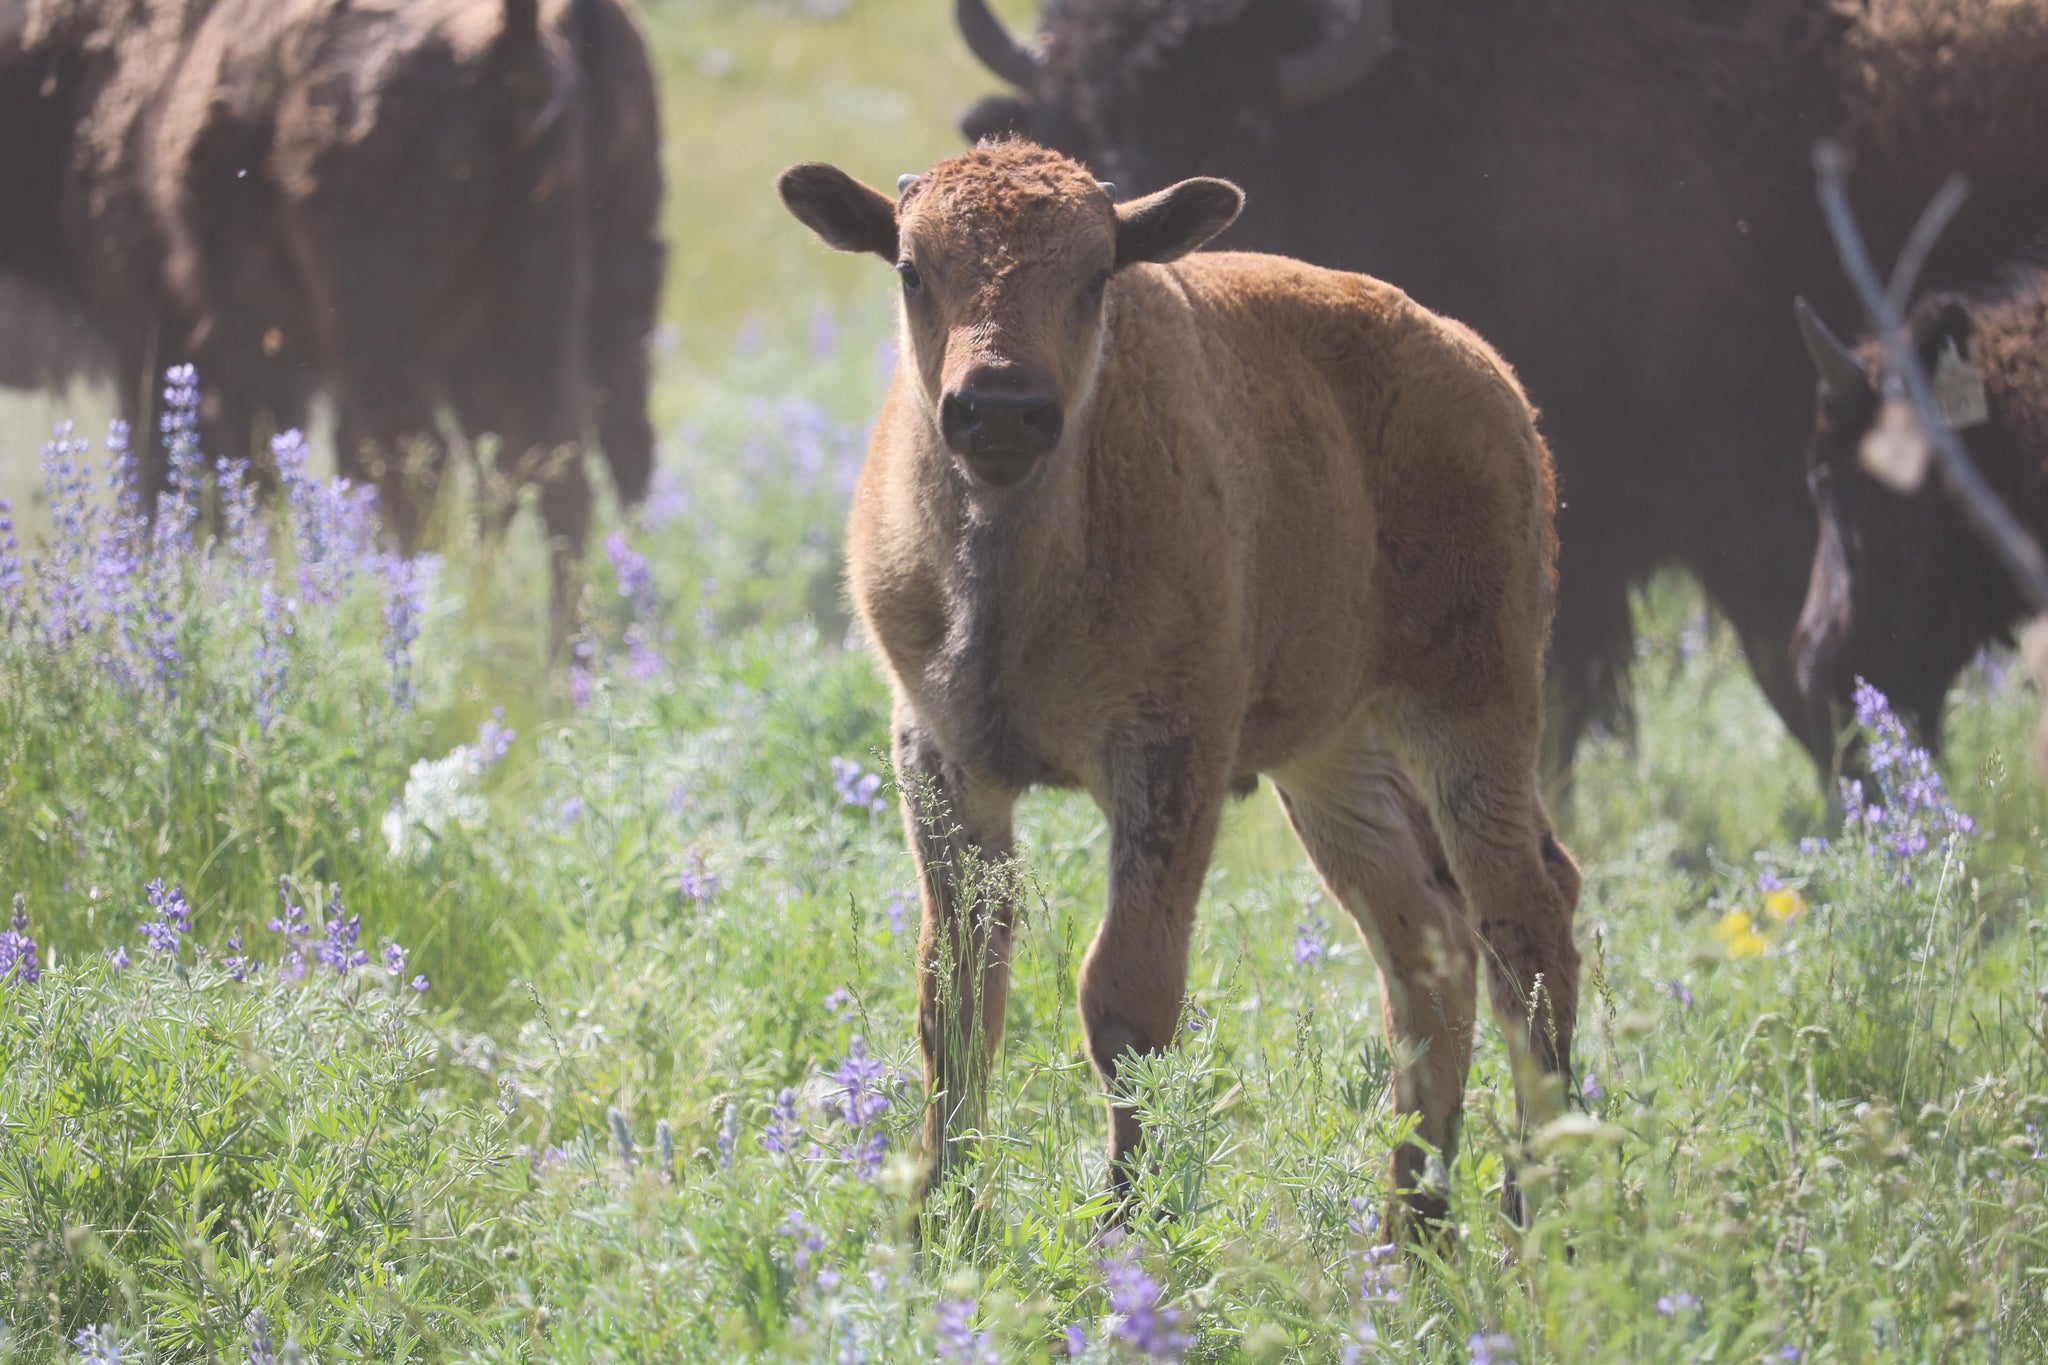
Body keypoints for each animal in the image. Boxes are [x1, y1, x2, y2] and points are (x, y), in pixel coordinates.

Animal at [0, 0, 665, 607]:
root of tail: (516, 43)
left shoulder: (160, 331)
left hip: (381, 330)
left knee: (420, 475)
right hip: (591, 297)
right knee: (586, 464)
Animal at [780, 141, 1580, 1230]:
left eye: (1095, 275)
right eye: (911, 268)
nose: (1000, 409)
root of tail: (1491, 381)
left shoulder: (1168, 758)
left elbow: (1123, 996)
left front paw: (1127, 1228)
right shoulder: (941, 758)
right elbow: (957, 995)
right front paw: (939, 1226)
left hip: (1470, 713)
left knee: (1525, 923)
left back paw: (1534, 1213)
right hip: (1333, 762)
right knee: (1426, 950)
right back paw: (1409, 1229)